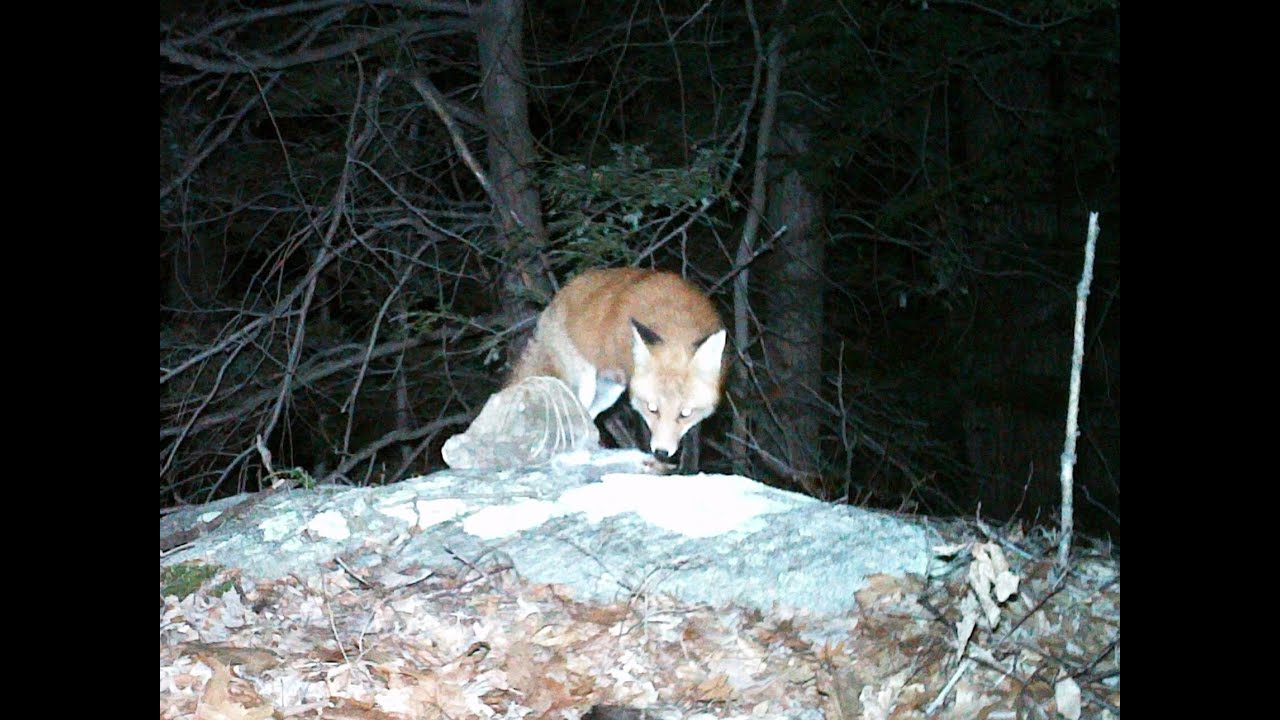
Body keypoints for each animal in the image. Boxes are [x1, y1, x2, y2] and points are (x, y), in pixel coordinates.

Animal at [509, 267, 727, 460]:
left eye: (685, 413)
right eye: (652, 409)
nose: (661, 452)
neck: (675, 326)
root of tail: (556, 298)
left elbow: (692, 449)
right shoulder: (636, 393)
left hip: (608, 392)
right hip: (585, 386)